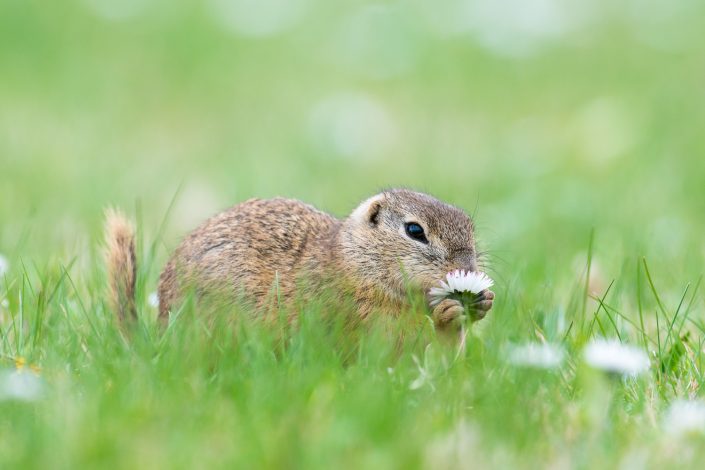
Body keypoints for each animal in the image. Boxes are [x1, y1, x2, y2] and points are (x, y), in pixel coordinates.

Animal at [104, 189, 496, 328]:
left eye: (469, 226)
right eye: (415, 231)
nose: (466, 269)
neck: (351, 261)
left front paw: (481, 302)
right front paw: (449, 312)